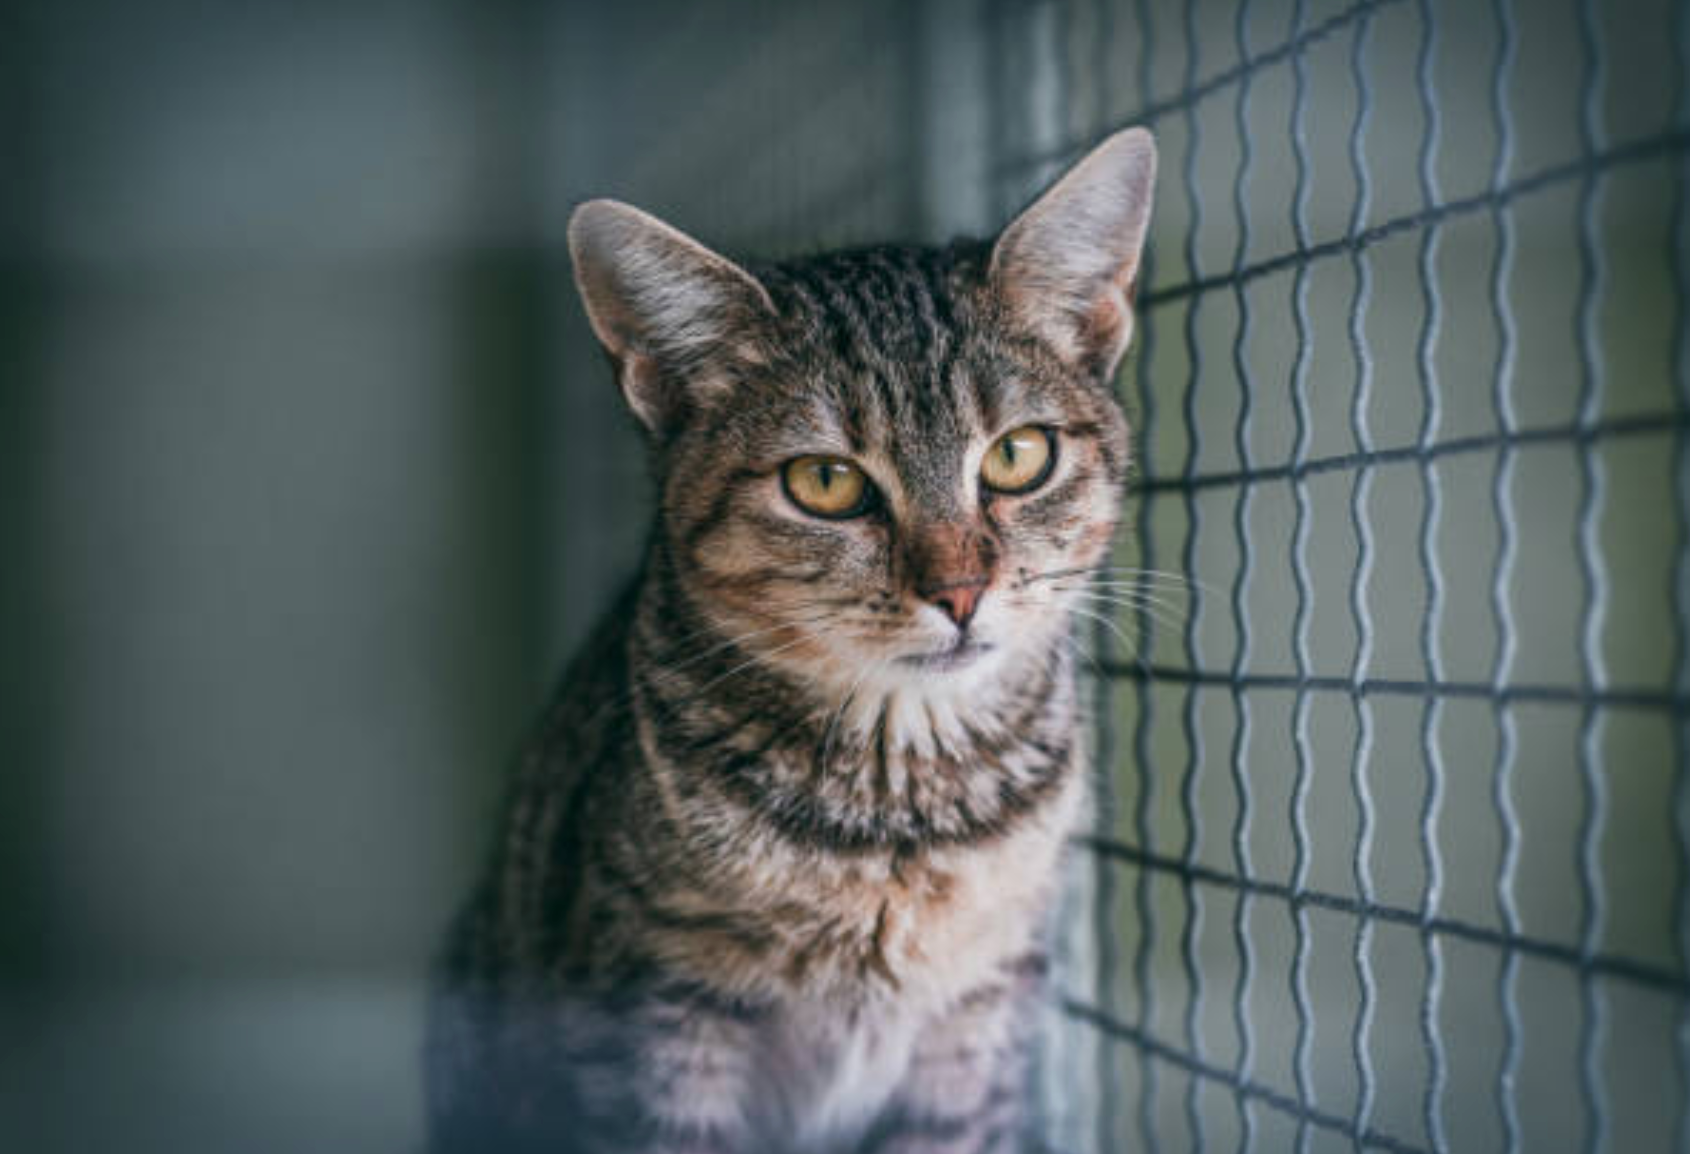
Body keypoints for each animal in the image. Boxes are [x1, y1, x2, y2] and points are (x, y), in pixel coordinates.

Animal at [426, 126, 1157, 1154]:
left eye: (1019, 455)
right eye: (825, 481)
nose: (960, 590)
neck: (899, 818)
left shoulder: (975, 1025)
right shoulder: (657, 1020)